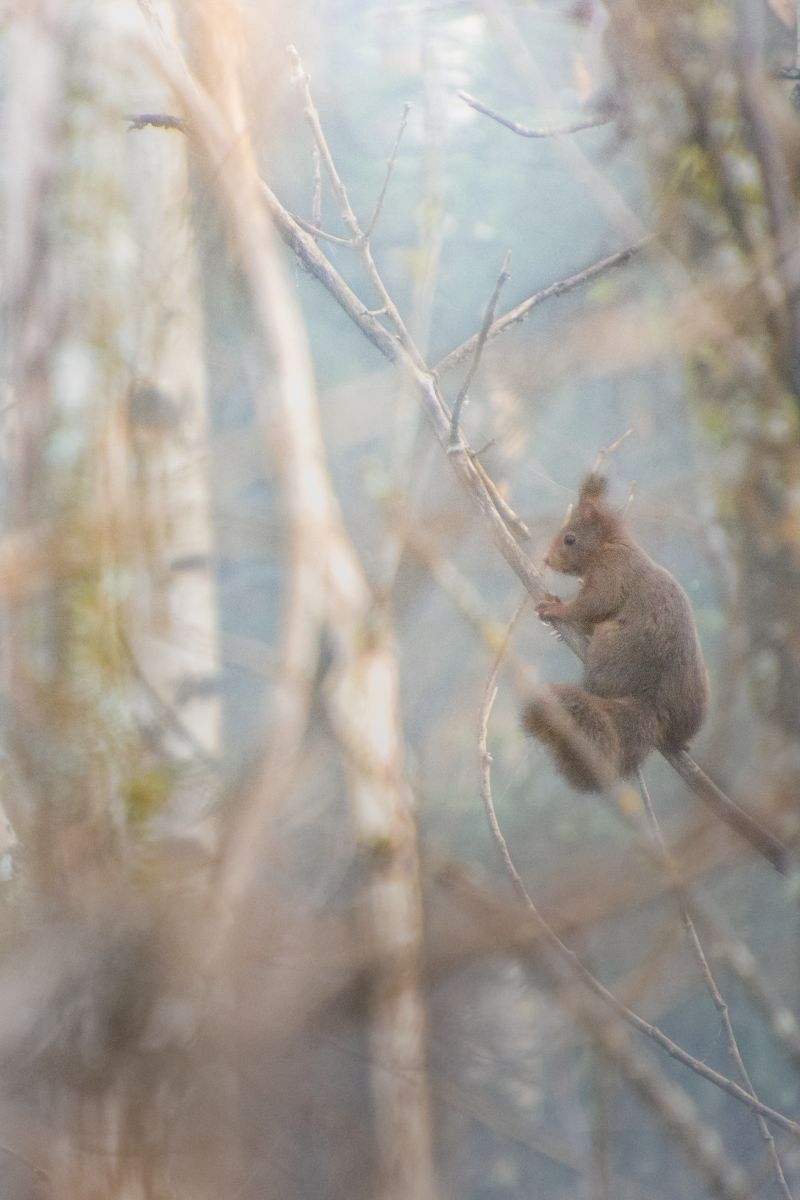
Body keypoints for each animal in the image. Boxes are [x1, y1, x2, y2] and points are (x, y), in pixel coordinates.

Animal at [523, 472, 709, 790]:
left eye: (570, 538)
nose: (547, 560)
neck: (607, 544)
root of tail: (651, 703)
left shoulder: (611, 572)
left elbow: (594, 604)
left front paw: (556, 609)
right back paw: (680, 743)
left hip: (609, 645)